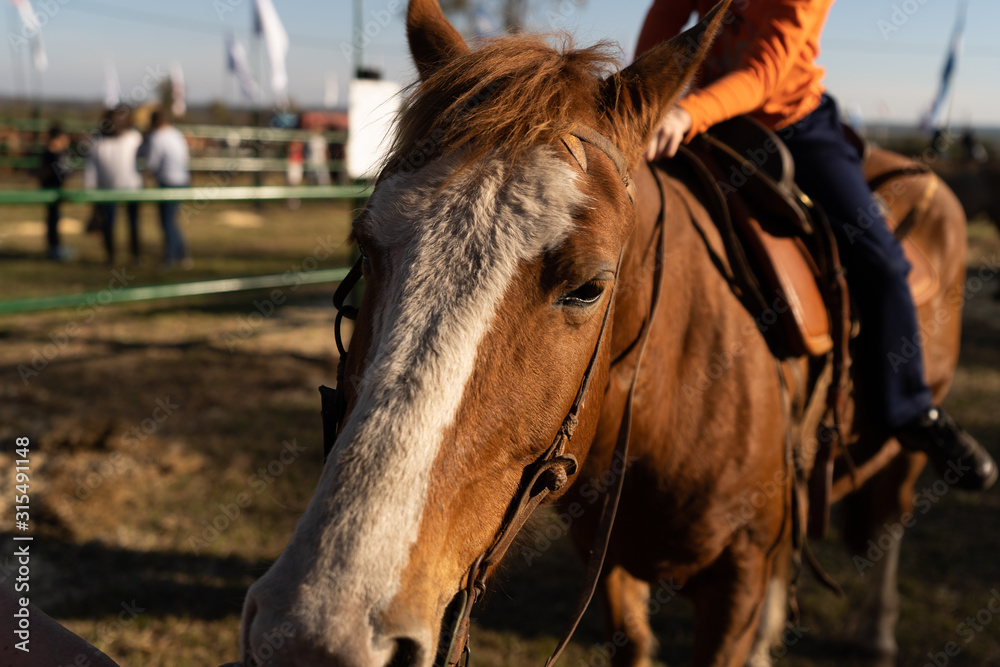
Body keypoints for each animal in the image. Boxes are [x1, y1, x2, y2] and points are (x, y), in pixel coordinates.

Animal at [235, 1, 969, 665]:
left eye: (589, 286)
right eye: (365, 245)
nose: (313, 639)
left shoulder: (735, 577)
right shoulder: (607, 560)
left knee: (893, 513)